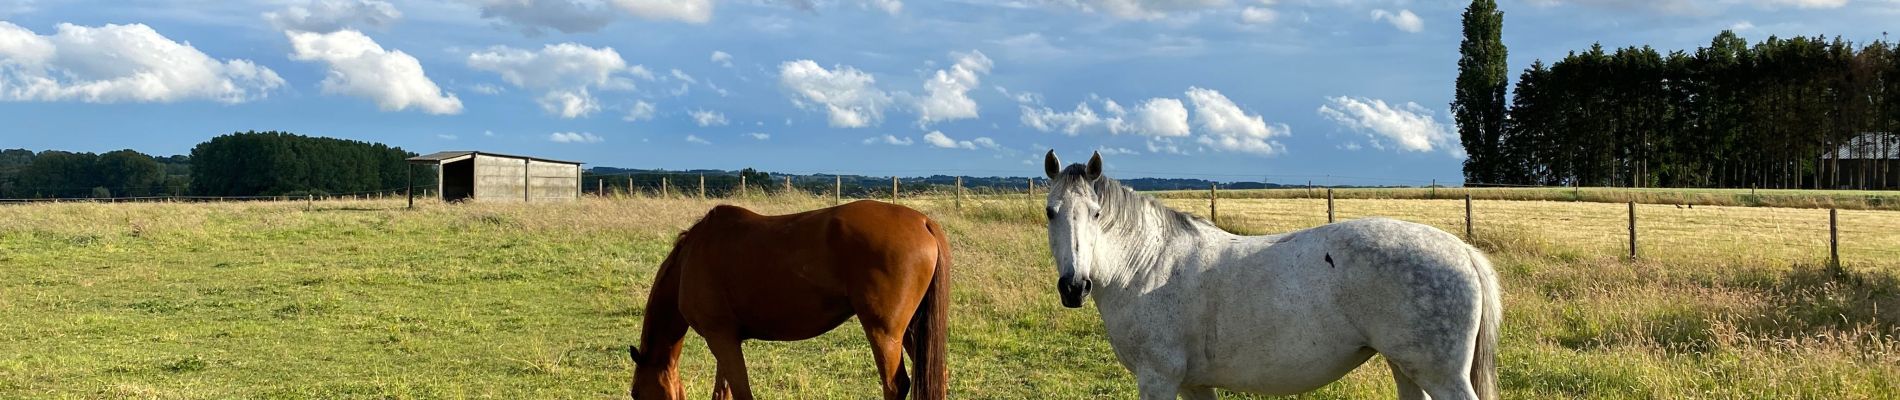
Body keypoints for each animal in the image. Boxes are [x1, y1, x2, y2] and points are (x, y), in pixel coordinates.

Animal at [630, 200, 950, 400]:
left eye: (635, 394)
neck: (689, 259)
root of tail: (923, 222)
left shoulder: (720, 337)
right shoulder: (725, 339)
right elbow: (724, 391)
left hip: (884, 332)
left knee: (895, 385)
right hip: (912, 330)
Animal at [1041, 151, 1497, 398]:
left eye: (1096, 214)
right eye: (1050, 211)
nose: (1074, 287)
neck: (1148, 267)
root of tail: (1463, 251)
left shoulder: (1158, 379)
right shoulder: (1194, 384)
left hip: (1441, 376)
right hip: (1407, 368)